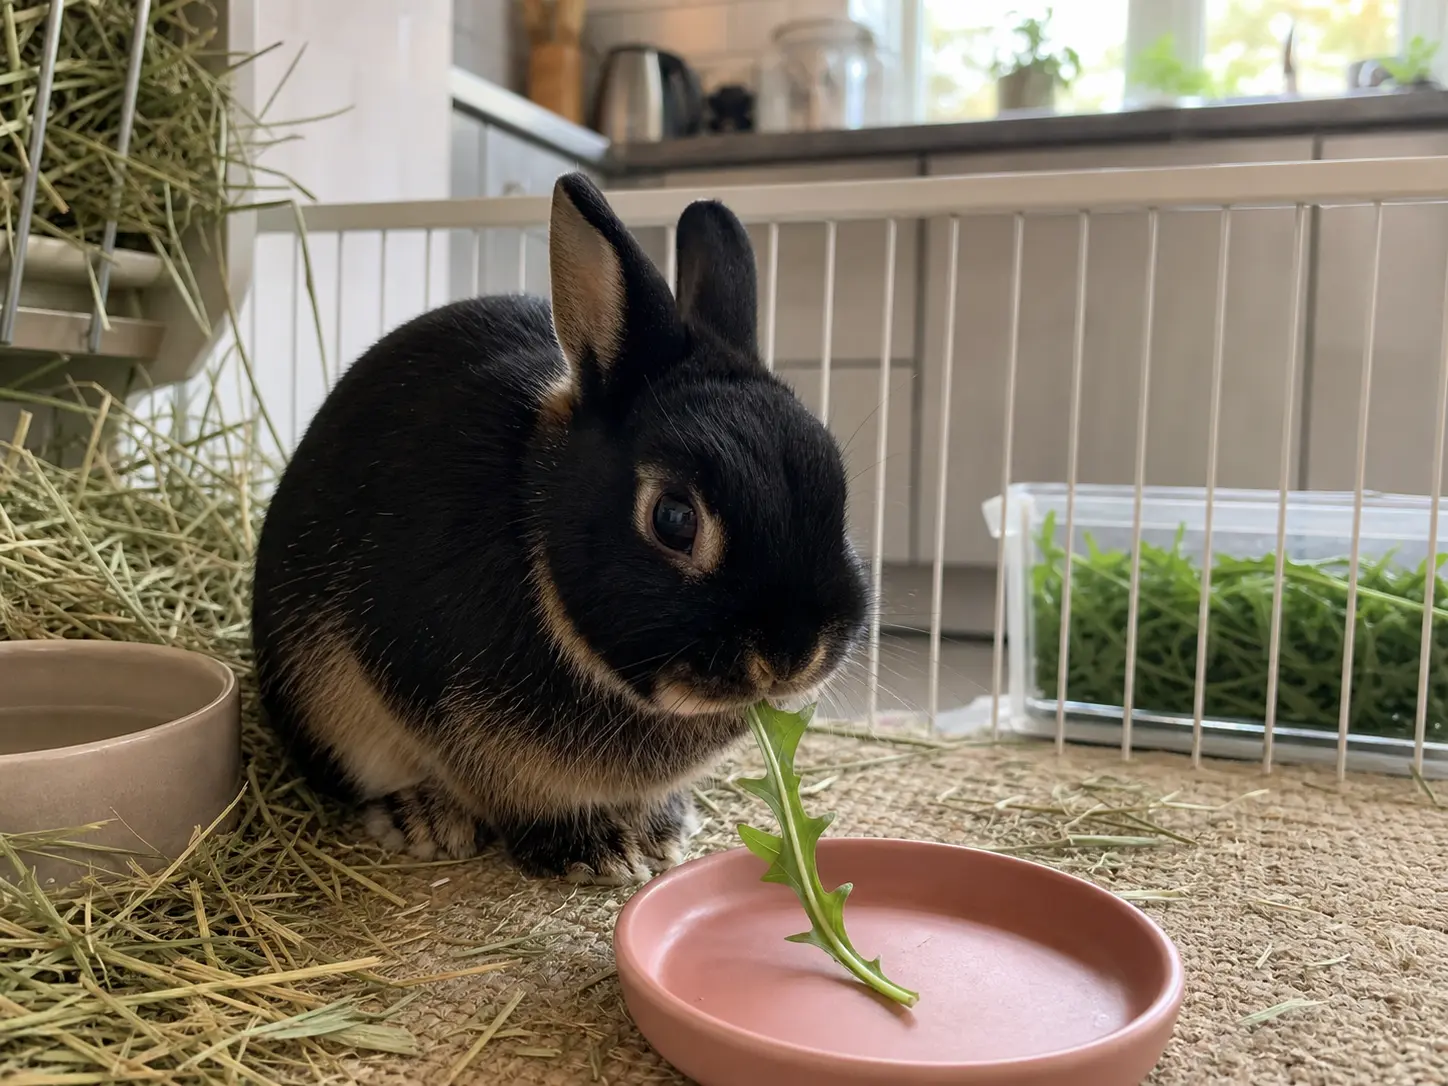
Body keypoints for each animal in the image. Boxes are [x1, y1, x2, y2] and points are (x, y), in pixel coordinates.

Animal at [250, 172, 869, 884]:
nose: (793, 655)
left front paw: (658, 833)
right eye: (674, 519)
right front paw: (596, 853)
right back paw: (425, 819)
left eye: (837, 485)